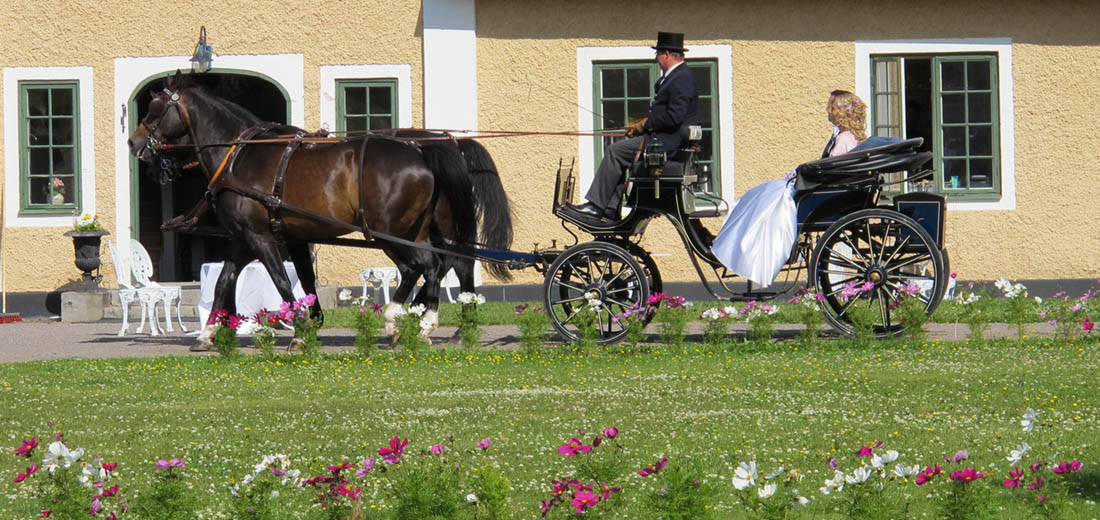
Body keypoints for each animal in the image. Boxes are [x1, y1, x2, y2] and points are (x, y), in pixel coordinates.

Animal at [126, 70, 512, 349]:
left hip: (390, 233)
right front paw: (208, 334)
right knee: (436, 267)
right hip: (419, 230)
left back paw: (400, 318)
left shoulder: (260, 238)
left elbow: (282, 281)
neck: (241, 154)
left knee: (422, 267)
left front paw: (299, 330)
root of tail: (423, 148)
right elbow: (226, 281)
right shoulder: (247, 239)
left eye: (155, 109)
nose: (134, 141)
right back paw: (424, 322)